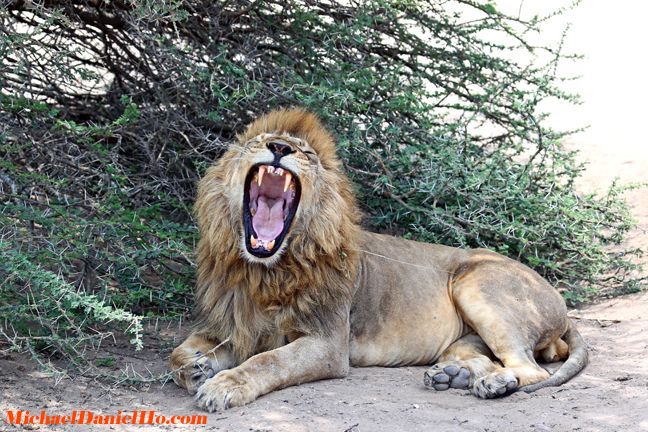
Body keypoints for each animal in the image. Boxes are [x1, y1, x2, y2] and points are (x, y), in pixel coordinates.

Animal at [171, 108, 588, 412]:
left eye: (305, 153)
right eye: (259, 142)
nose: (278, 147)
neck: (264, 272)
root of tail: (561, 303)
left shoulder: (328, 344)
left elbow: (269, 361)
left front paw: (224, 385)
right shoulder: (234, 321)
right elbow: (179, 355)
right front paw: (198, 366)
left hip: (476, 283)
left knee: (530, 368)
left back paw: (495, 384)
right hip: (466, 335)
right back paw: (454, 375)